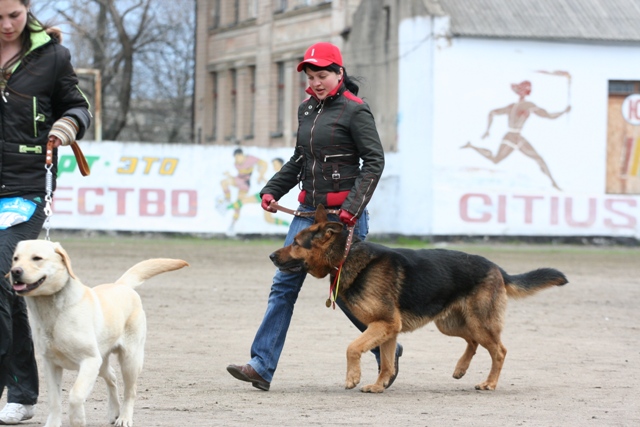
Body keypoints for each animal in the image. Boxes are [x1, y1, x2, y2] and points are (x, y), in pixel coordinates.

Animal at [9, 240, 189, 427]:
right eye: (15, 259)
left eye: (37, 258)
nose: (15, 271)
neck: (54, 313)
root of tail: (121, 285)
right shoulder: (50, 363)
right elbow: (54, 399)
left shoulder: (89, 360)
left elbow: (76, 395)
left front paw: (78, 420)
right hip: (102, 362)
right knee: (112, 377)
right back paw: (114, 412)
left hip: (130, 360)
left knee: (130, 391)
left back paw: (124, 418)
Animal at [269, 205, 568, 393]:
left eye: (296, 243)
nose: (271, 256)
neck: (344, 256)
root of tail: (496, 267)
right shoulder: (388, 329)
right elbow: (387, 362)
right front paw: (379, 386)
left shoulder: (384, 325)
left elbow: (352, 348)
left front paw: (353, 377)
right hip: (450, 324)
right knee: (473, 342)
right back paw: (460, 369)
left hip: (479, 322)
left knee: (499, 351)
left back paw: (490, 383)